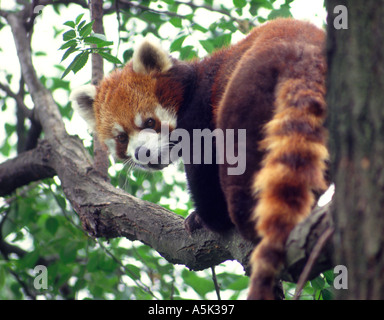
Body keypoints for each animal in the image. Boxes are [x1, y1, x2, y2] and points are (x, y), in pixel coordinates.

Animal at [69, 18, 328, 300]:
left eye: (149, 122)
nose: (142, 154)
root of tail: (301, 52)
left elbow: (203, 163)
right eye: (121, 138)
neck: (189, 87)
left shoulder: (200, 109)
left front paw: (203, 217)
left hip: (245, 87)